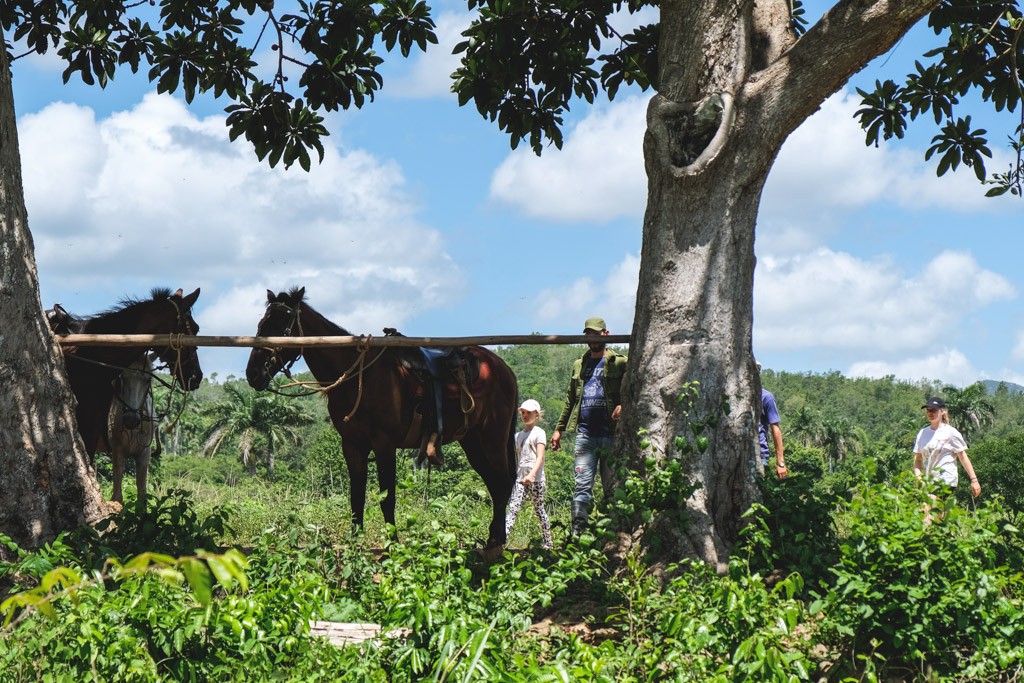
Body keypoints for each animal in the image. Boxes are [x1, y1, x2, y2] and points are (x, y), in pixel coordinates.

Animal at [245, 288, 520, 548]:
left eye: (283, 326)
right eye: (261, 324)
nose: (253, 373)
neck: (359, 378)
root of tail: (504, 369)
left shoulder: (384, 445)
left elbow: (387, 499)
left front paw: (392, 543)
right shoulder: (352, 446)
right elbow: (357, 498)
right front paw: (355, 542)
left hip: (492, 439)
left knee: (503, 483)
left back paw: (495, 540)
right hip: (472, 442)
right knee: (495, 484)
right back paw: (495, 538)